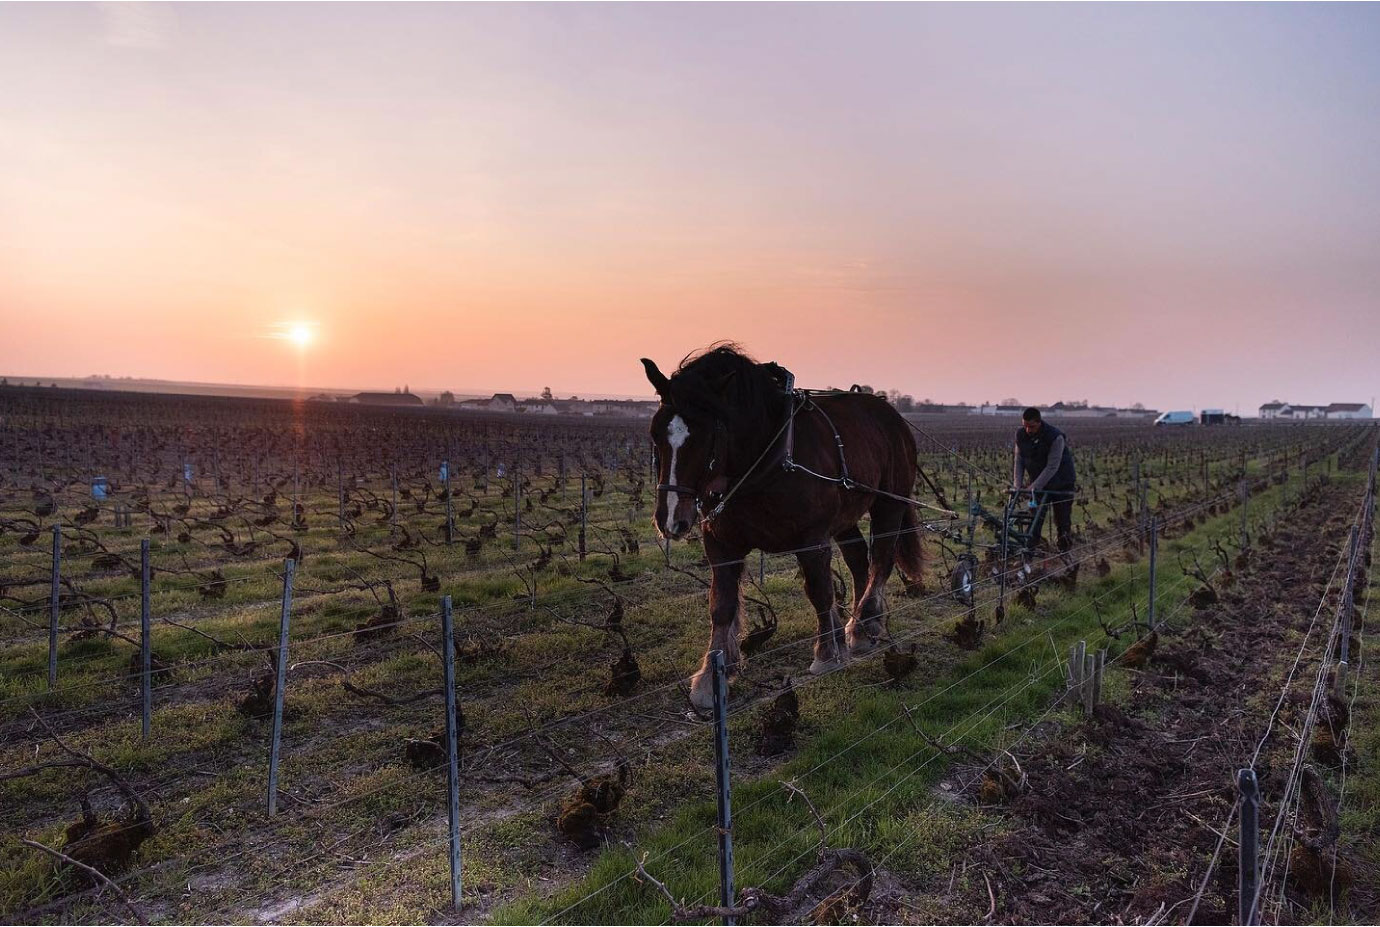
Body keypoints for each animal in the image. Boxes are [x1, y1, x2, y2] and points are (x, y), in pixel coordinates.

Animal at [643, 343, 927, 706]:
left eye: (705, 435)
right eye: (656, 433)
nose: (670, 520)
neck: (765, 455)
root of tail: (890, 413)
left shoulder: (812, 537)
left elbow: (819, 591)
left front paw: (827, 654)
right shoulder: (720, 544)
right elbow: (721, 604)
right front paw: (710, 678)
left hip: (889, 502)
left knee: (882, 559)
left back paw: (866, 623)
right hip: (845, 517)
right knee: (858, 559)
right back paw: (860, 628)